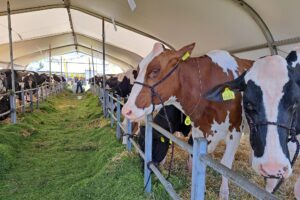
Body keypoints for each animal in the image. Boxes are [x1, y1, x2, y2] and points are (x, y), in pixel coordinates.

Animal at [122, 42, 253, 198]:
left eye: (155, 70)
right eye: (138, 70)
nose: (126, 110)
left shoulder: (236, 130)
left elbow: (225, 164)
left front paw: (224, 193)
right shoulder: (198, 130)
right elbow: (194, 157)